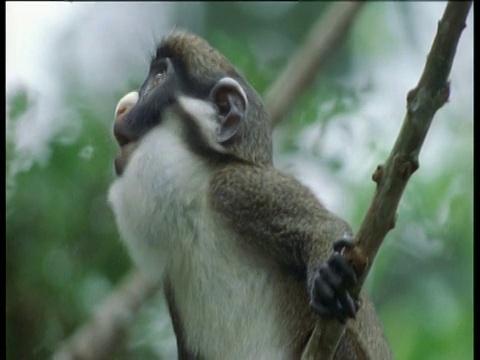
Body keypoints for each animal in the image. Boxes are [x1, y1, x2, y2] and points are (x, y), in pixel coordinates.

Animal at [109, 31, 394, 360]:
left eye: (158, 78)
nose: (122, 108)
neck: (193, 203)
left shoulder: (237, 188)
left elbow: (326, 229)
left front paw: (331, 279)